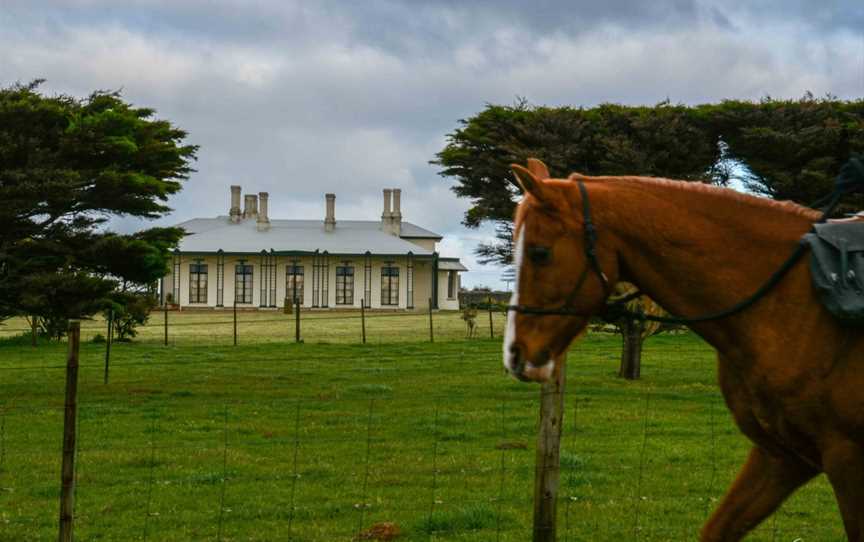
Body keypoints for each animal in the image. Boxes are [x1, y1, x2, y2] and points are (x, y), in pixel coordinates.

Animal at [502, 159, 860, 540]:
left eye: (540, 253)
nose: (514, 354)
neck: (793, 305)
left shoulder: (846, 460)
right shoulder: (782, 456)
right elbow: (716, 529)